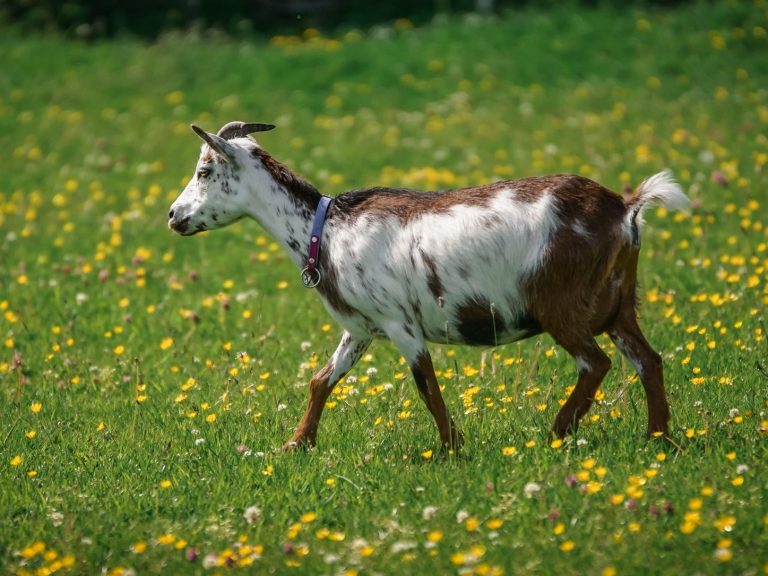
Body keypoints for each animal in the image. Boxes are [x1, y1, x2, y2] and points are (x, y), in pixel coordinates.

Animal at [168, 121, 690, 451]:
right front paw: (295, 445)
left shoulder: (400, 323)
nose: (173, 216)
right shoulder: (361, 328)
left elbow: (426, 385)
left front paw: (452, 450)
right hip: (617, 304)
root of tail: (625, 209)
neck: (328, 229)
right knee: (648, 360)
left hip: (560, 304)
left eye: (204, 171)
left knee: (595, 363)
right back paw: (659, 439)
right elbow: (322, 380)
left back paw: (556, 434)